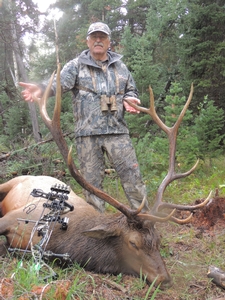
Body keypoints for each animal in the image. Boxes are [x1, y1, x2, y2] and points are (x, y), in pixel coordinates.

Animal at [0, 65, 210, 288]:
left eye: (158, 240)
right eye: (133, 243)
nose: (165, 279)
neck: (60, 238)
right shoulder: (15, 217)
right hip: (12, 182)